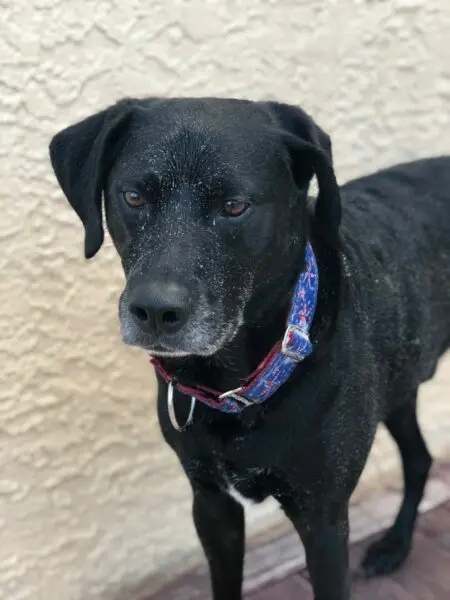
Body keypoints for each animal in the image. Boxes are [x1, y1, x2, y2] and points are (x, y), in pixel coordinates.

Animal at [49, 98, 450, 600]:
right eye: (134, 197)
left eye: (234, 206)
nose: (155, 311)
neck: (239, 383)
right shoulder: (211, 502)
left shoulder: (323, 521)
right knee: (418, 458)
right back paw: (395, 546)